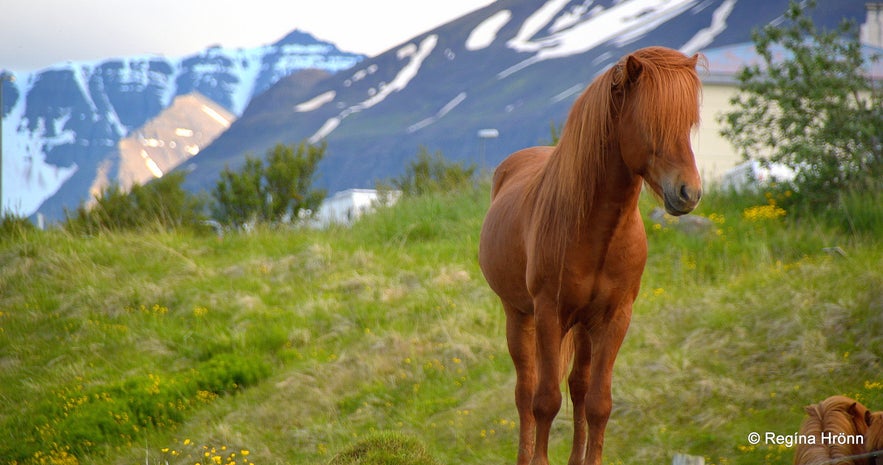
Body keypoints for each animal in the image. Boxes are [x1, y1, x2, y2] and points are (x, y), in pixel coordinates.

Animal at [480, 48, 700, 464]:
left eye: (691, 123)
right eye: (650, 122)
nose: (688, 192)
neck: (595, 229)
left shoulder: (615, 317)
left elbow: (598, 403)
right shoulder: (549, 313)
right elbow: (545, 401)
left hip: (583, 326)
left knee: (578, 387)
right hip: (519, 316)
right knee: (526, 391)